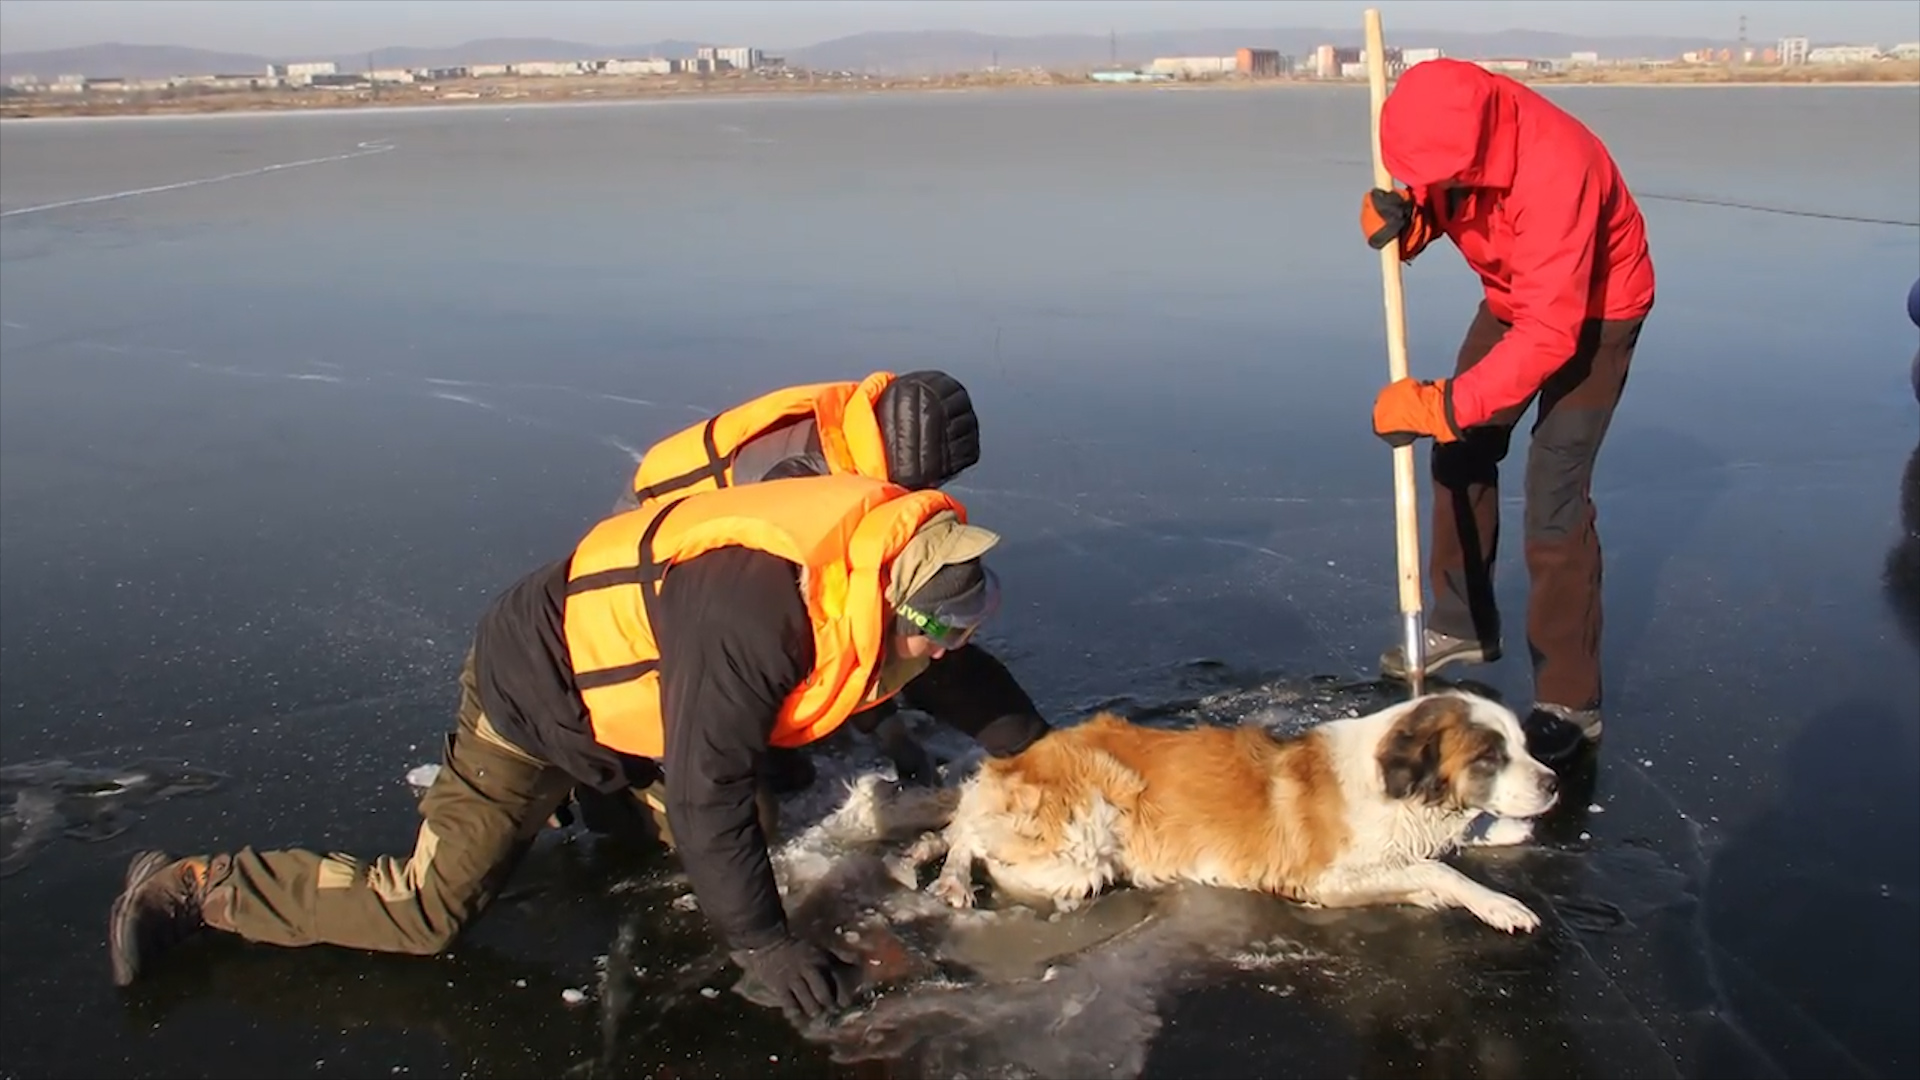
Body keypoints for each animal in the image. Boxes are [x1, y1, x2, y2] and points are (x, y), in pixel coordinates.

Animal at [890, 687, 1566, 933]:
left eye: (1523, 746)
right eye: (1489, 756)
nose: (1556, 783)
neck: (1395, 784)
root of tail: (1021, 757)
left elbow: (1440, 852)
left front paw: (1503, 830)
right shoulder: (1320, 876)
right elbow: (1436, 868)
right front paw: (1497, 904)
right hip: (1081, 845)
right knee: (971, 836)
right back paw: (952, 879)